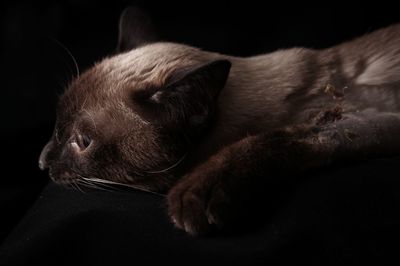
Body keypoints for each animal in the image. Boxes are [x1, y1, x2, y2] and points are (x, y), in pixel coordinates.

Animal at [39, 6, 400, 235]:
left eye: (83, 142)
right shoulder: (358, 124)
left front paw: (197, 196)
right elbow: (282, 136)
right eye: (57, 126)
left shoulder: (362, 121)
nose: (41, 163)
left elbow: (267, 138)